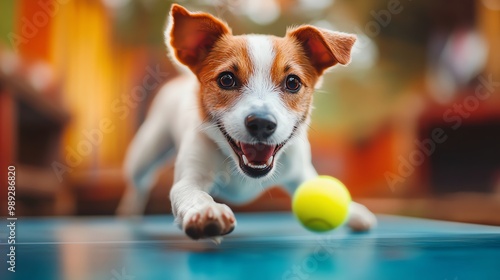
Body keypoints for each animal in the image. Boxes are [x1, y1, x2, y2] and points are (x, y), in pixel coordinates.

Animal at [116, 3, 376, 241]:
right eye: (226, 79)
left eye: (293, 82)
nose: (261, 123)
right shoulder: (190, 177)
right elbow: (191, 193)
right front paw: (206, 211)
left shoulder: (300, 172)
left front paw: (354, 211)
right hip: (145, 153)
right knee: (140, 183)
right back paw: (130, 210)